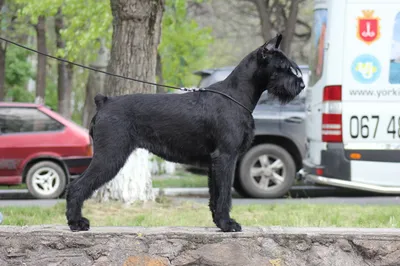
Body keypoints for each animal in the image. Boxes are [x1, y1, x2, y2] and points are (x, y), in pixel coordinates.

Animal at [65, 33, 304, 233]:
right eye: (283, 66)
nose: (300, 85)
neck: (236, 95)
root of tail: (104, 102)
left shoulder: (214, 162)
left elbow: (215, 195)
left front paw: (219, 223)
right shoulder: (226, 157)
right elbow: (225, 194)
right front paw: (228, 224)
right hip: (110, 155)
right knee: (77, 186)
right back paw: (77, 222)